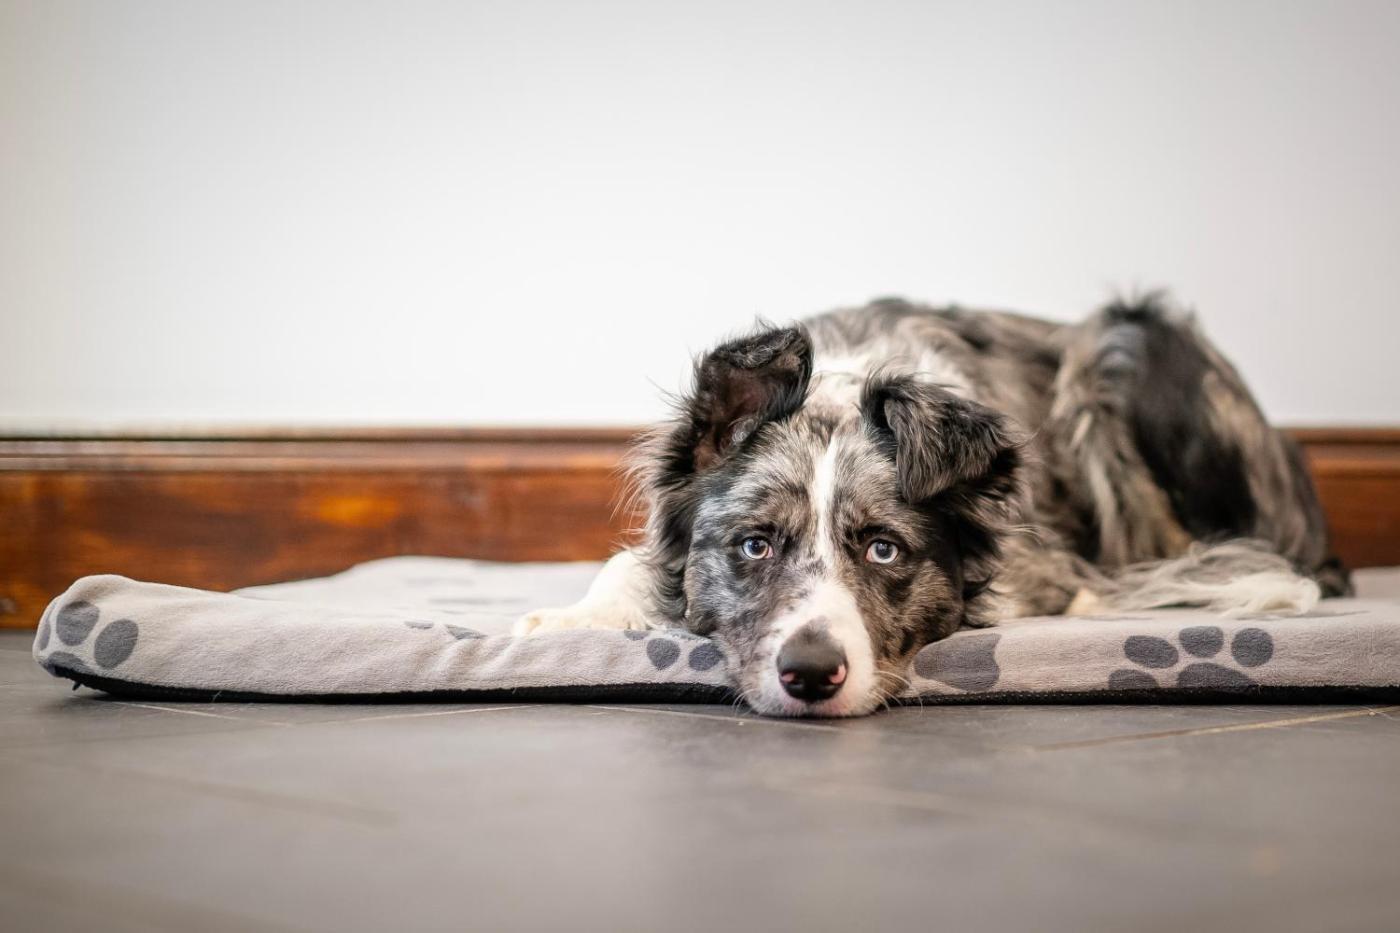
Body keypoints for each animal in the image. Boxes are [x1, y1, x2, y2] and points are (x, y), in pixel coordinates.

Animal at [515, 295, 1348, 717]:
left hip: (1129, 345)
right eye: (754, 545)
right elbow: (627, 565)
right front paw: (570, 620)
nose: (810, 673)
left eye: (884, 548)